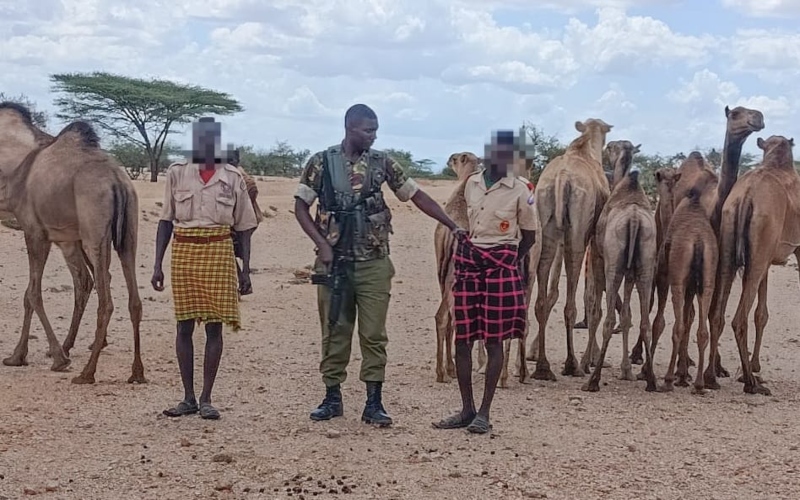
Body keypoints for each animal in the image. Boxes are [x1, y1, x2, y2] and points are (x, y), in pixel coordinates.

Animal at [0, 102, 144, 385]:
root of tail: (117, 181)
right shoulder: (58, 237)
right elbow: (32, 293)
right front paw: (20, 356)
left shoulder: (35, 232)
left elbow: (33, 293)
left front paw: (55, 358)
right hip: (128, 234)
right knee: (132, 299)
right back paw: (136, 373)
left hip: (93, 233)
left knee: (105, 300)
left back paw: (87, 372)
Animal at [530, 118, 612, 381]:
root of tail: (562, 178)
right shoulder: (593, 236)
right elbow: (592, 295)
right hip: (578, 225)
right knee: (571, 298)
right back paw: (572, 364)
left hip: (545, 214)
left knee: (541, 288)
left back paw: (543, 367)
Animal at [581, 168, 657, 392]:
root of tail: (634, 220)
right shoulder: (630, 272)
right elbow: (626, 316)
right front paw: (626, 371)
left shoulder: (597, 258)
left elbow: (595, 312)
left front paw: (585, 364)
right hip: (646, 265)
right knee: (645, 322)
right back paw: (651, 381)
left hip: (612, 265)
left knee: (608, 320)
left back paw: (593, 381)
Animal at [659, 168, 718, 393]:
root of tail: (699, 242)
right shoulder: (693, 287)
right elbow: (689, 318)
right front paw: (683, 375)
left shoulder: (673, 277)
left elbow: (683, 323)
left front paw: (679, 376)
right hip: (708, 280)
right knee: (702, 331)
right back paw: (700, 384)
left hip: (677, 280)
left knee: (678, 327)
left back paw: (667, 380)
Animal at [705, 136, 799, 395]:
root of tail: (747, 196)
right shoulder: (796, 248)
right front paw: (755, 370)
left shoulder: (766, 257)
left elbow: (761, 313)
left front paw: (757, 365)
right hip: (759, 238)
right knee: (738, 318)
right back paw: (751, 382)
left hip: (731, 232)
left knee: (717, 313)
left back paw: (711, 377)